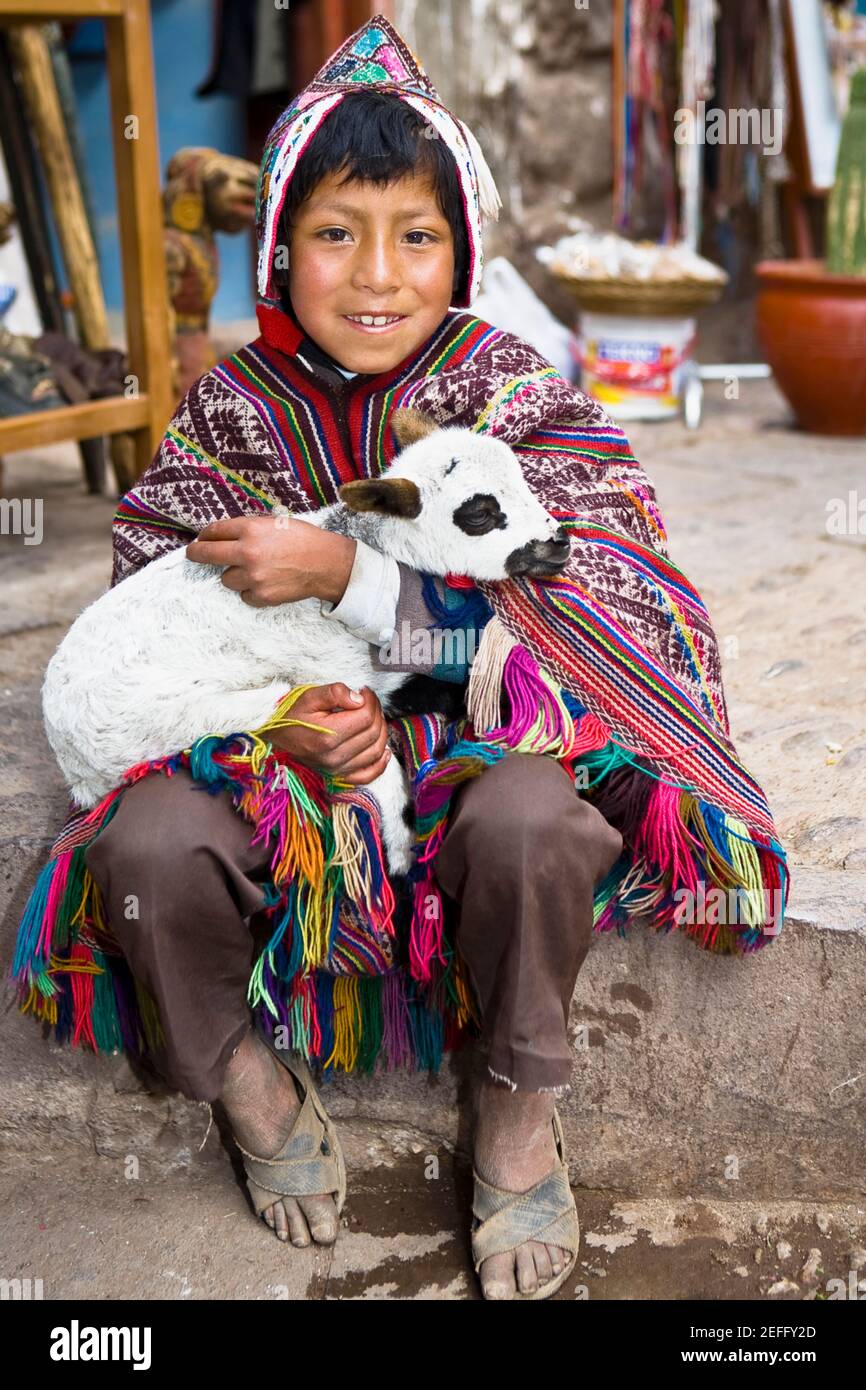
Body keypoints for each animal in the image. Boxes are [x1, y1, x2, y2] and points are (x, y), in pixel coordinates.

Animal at [42, 405, 569, 872]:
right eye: (479, 513)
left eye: (525, 481)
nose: (559, 543)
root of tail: (70, 760)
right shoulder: (342, 683)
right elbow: (381, 770)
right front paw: (401, 851)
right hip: (184, 721)